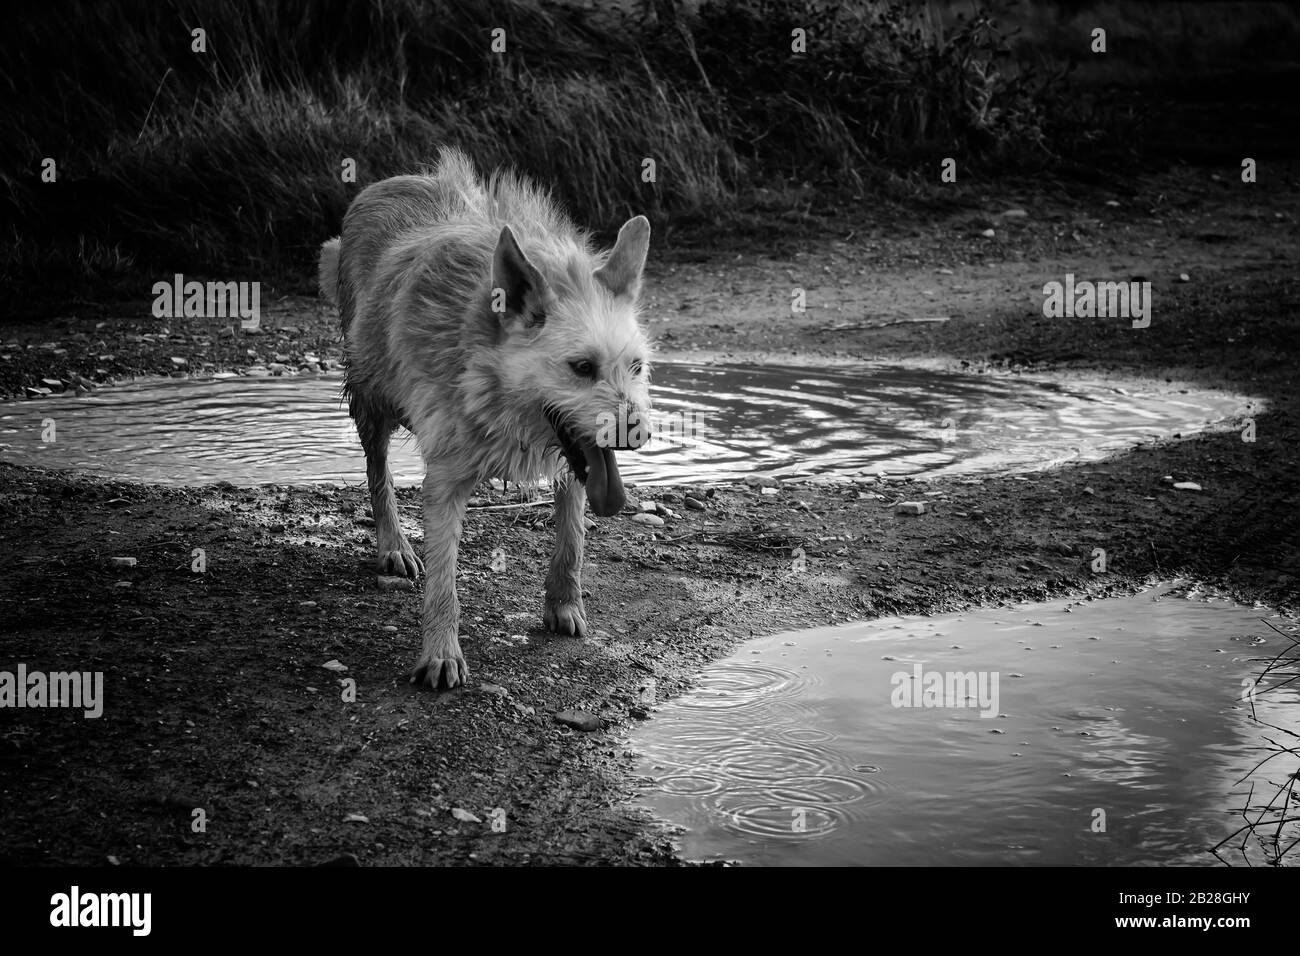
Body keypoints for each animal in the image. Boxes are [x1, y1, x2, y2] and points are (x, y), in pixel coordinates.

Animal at [319, 145, 655, 686]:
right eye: (582, 368)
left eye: (637, 367)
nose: (638, 433)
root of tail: (394, 179)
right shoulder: (444, 480)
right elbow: (443, 583)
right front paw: (440, 652)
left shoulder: (576, 464)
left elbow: (572, 540)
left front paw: (564, 605)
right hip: (372, 399)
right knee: (377, 470)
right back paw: (393, 543)